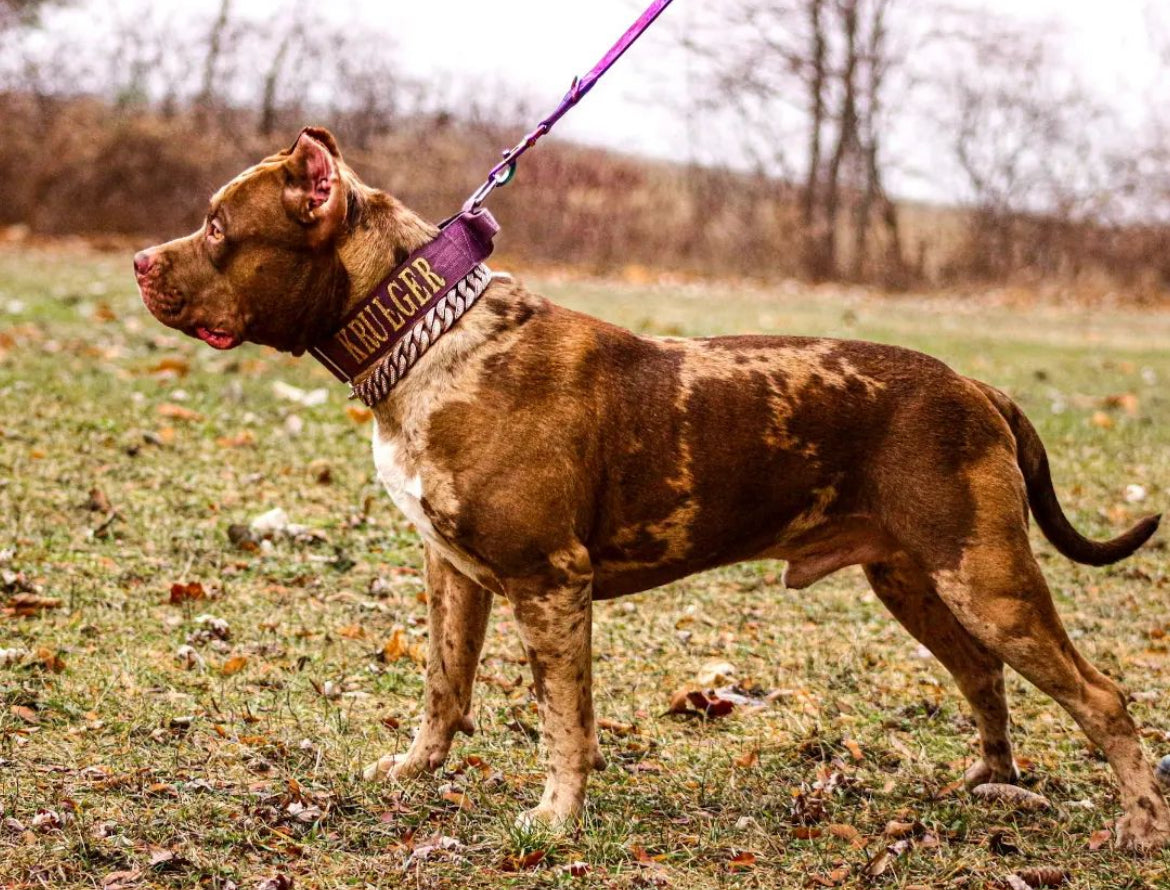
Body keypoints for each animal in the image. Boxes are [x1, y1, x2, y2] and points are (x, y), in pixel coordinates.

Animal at [132, 126, 1165, 846]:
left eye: (219, 227)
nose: (140, 260)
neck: (426, 334)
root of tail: (976, 385)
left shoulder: (551, 584)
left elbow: (562, 718)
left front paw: (555, 819)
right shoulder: (452, 574)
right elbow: (443, 685)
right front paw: (420, 770)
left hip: (985, 579)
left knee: (1103, 698)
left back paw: (1138, 826)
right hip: (915, 580)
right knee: (983, 675)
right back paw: (992, 782)